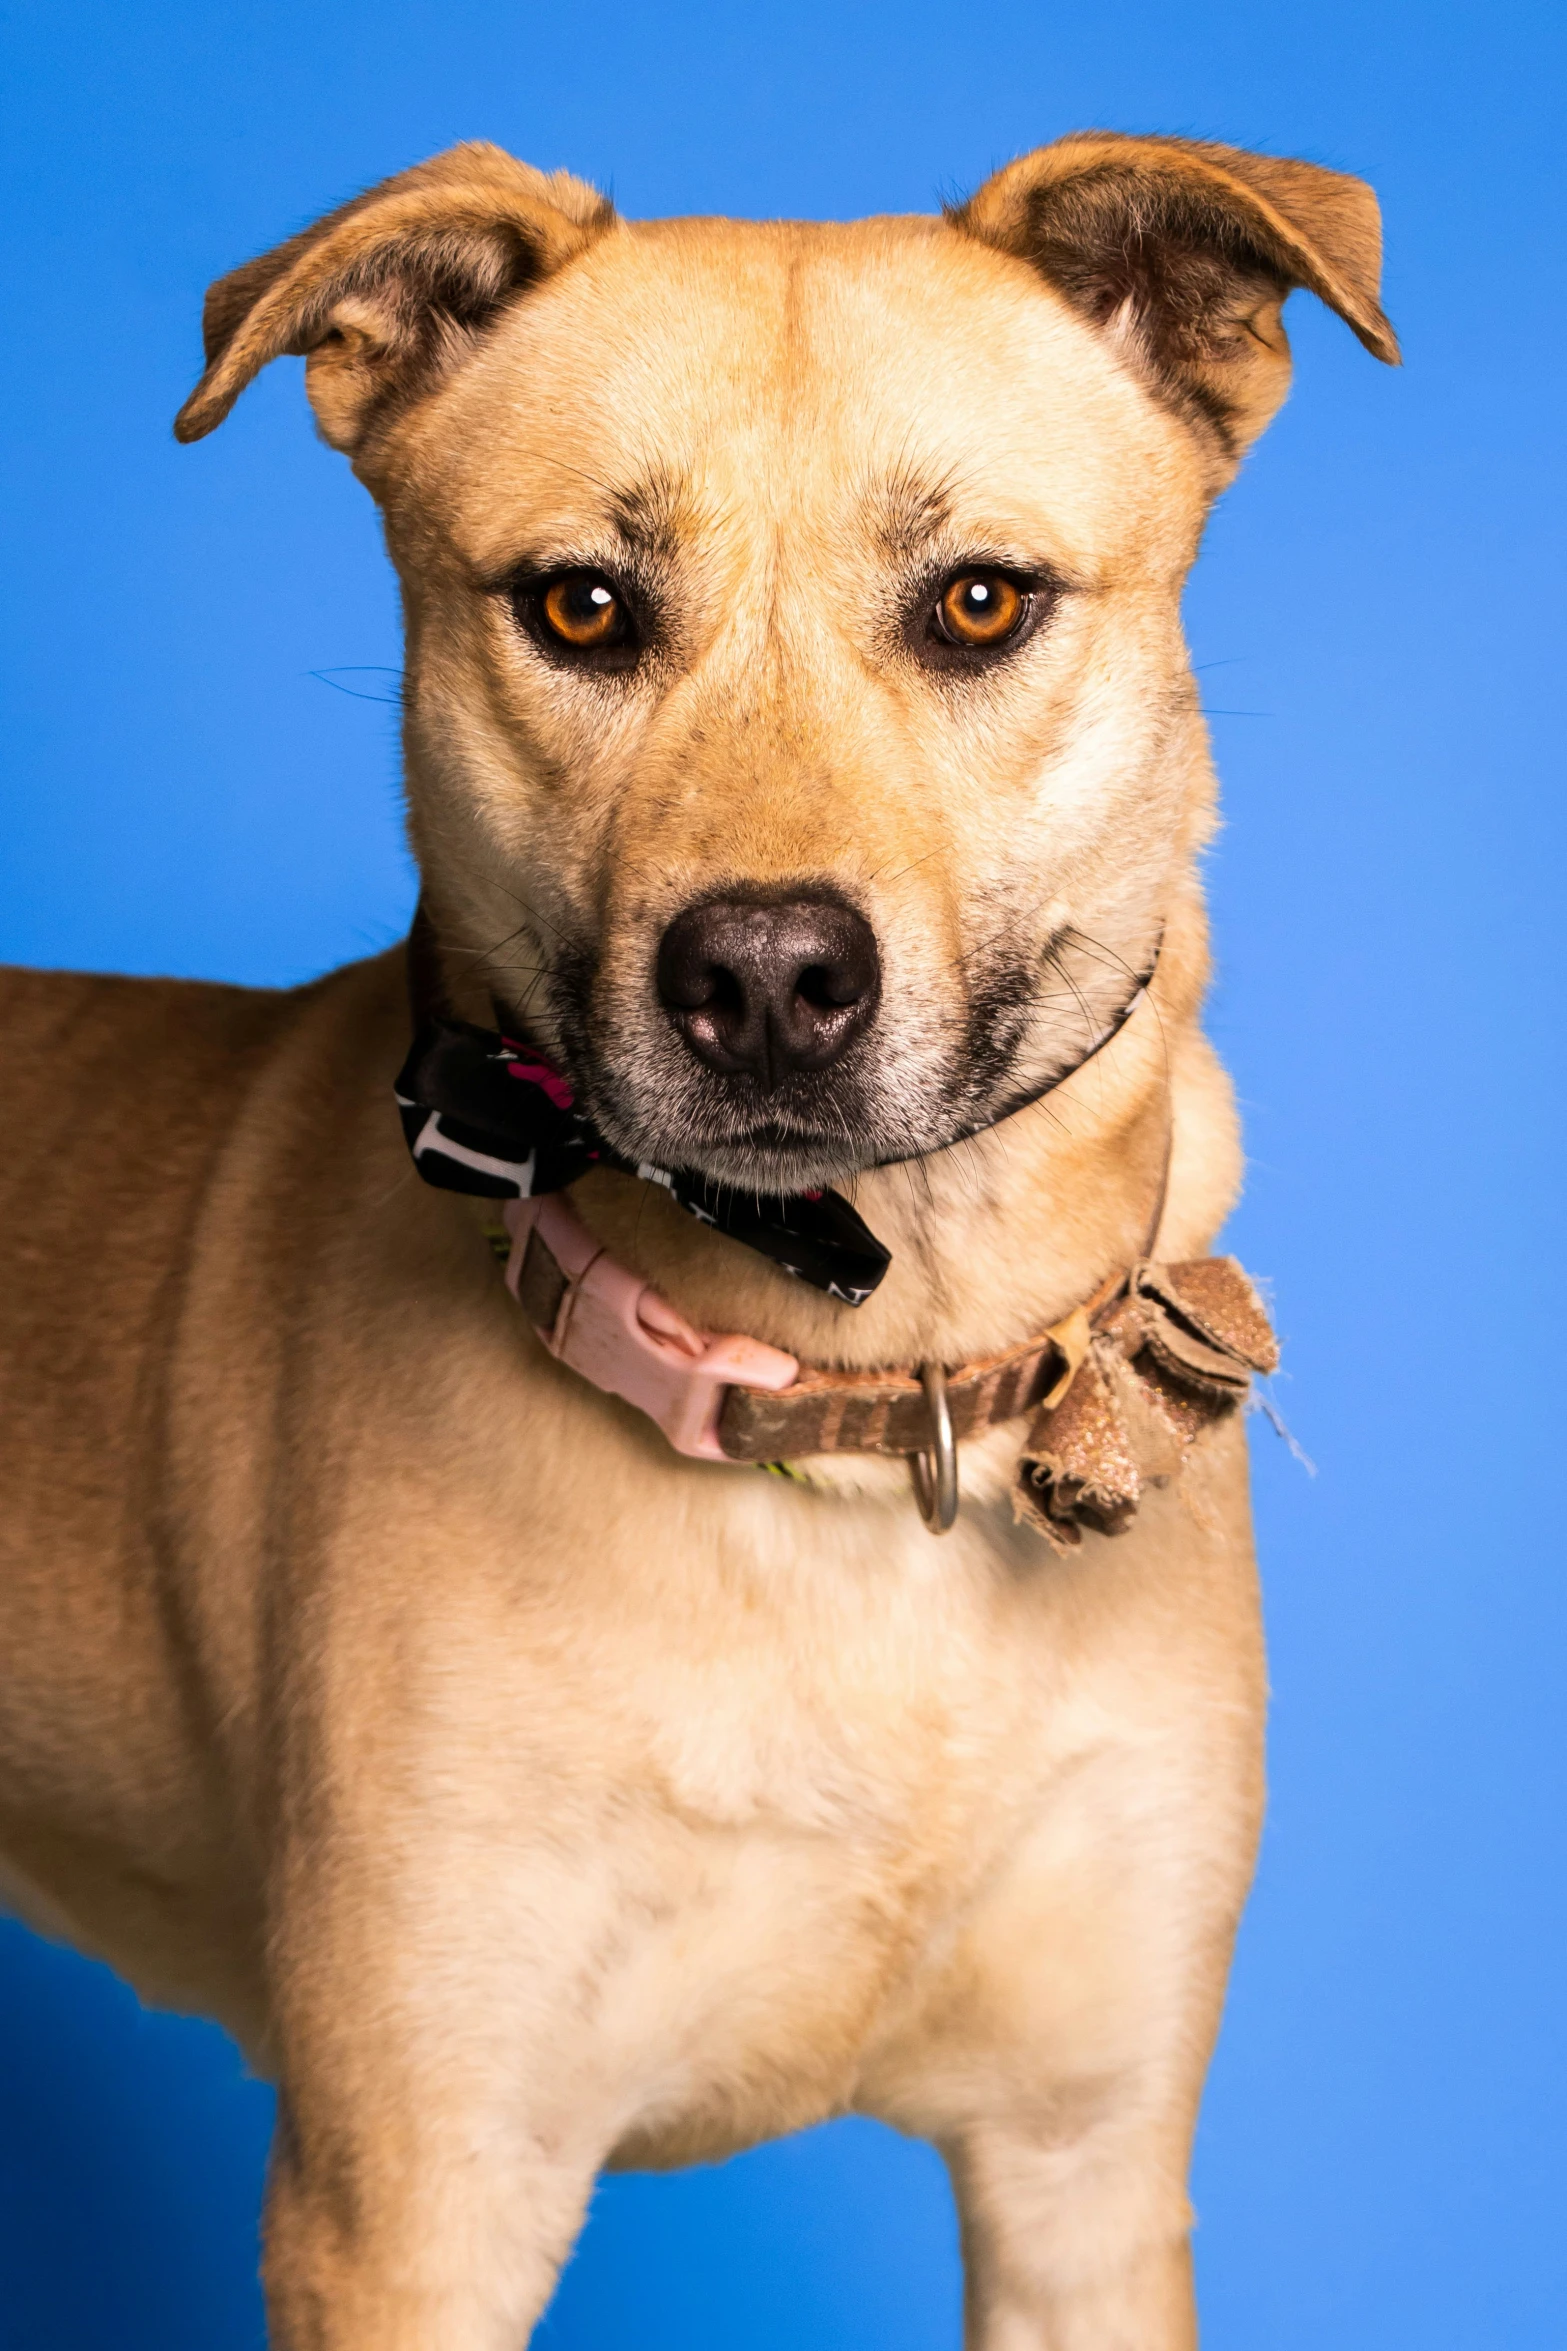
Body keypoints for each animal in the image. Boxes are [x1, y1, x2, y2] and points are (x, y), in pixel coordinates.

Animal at [0, 133, 1400, 2351]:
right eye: (580, 605)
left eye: (979, 600)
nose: (761, 979)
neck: (855, 1407)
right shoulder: (415, 2196)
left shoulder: (1085, 2170)